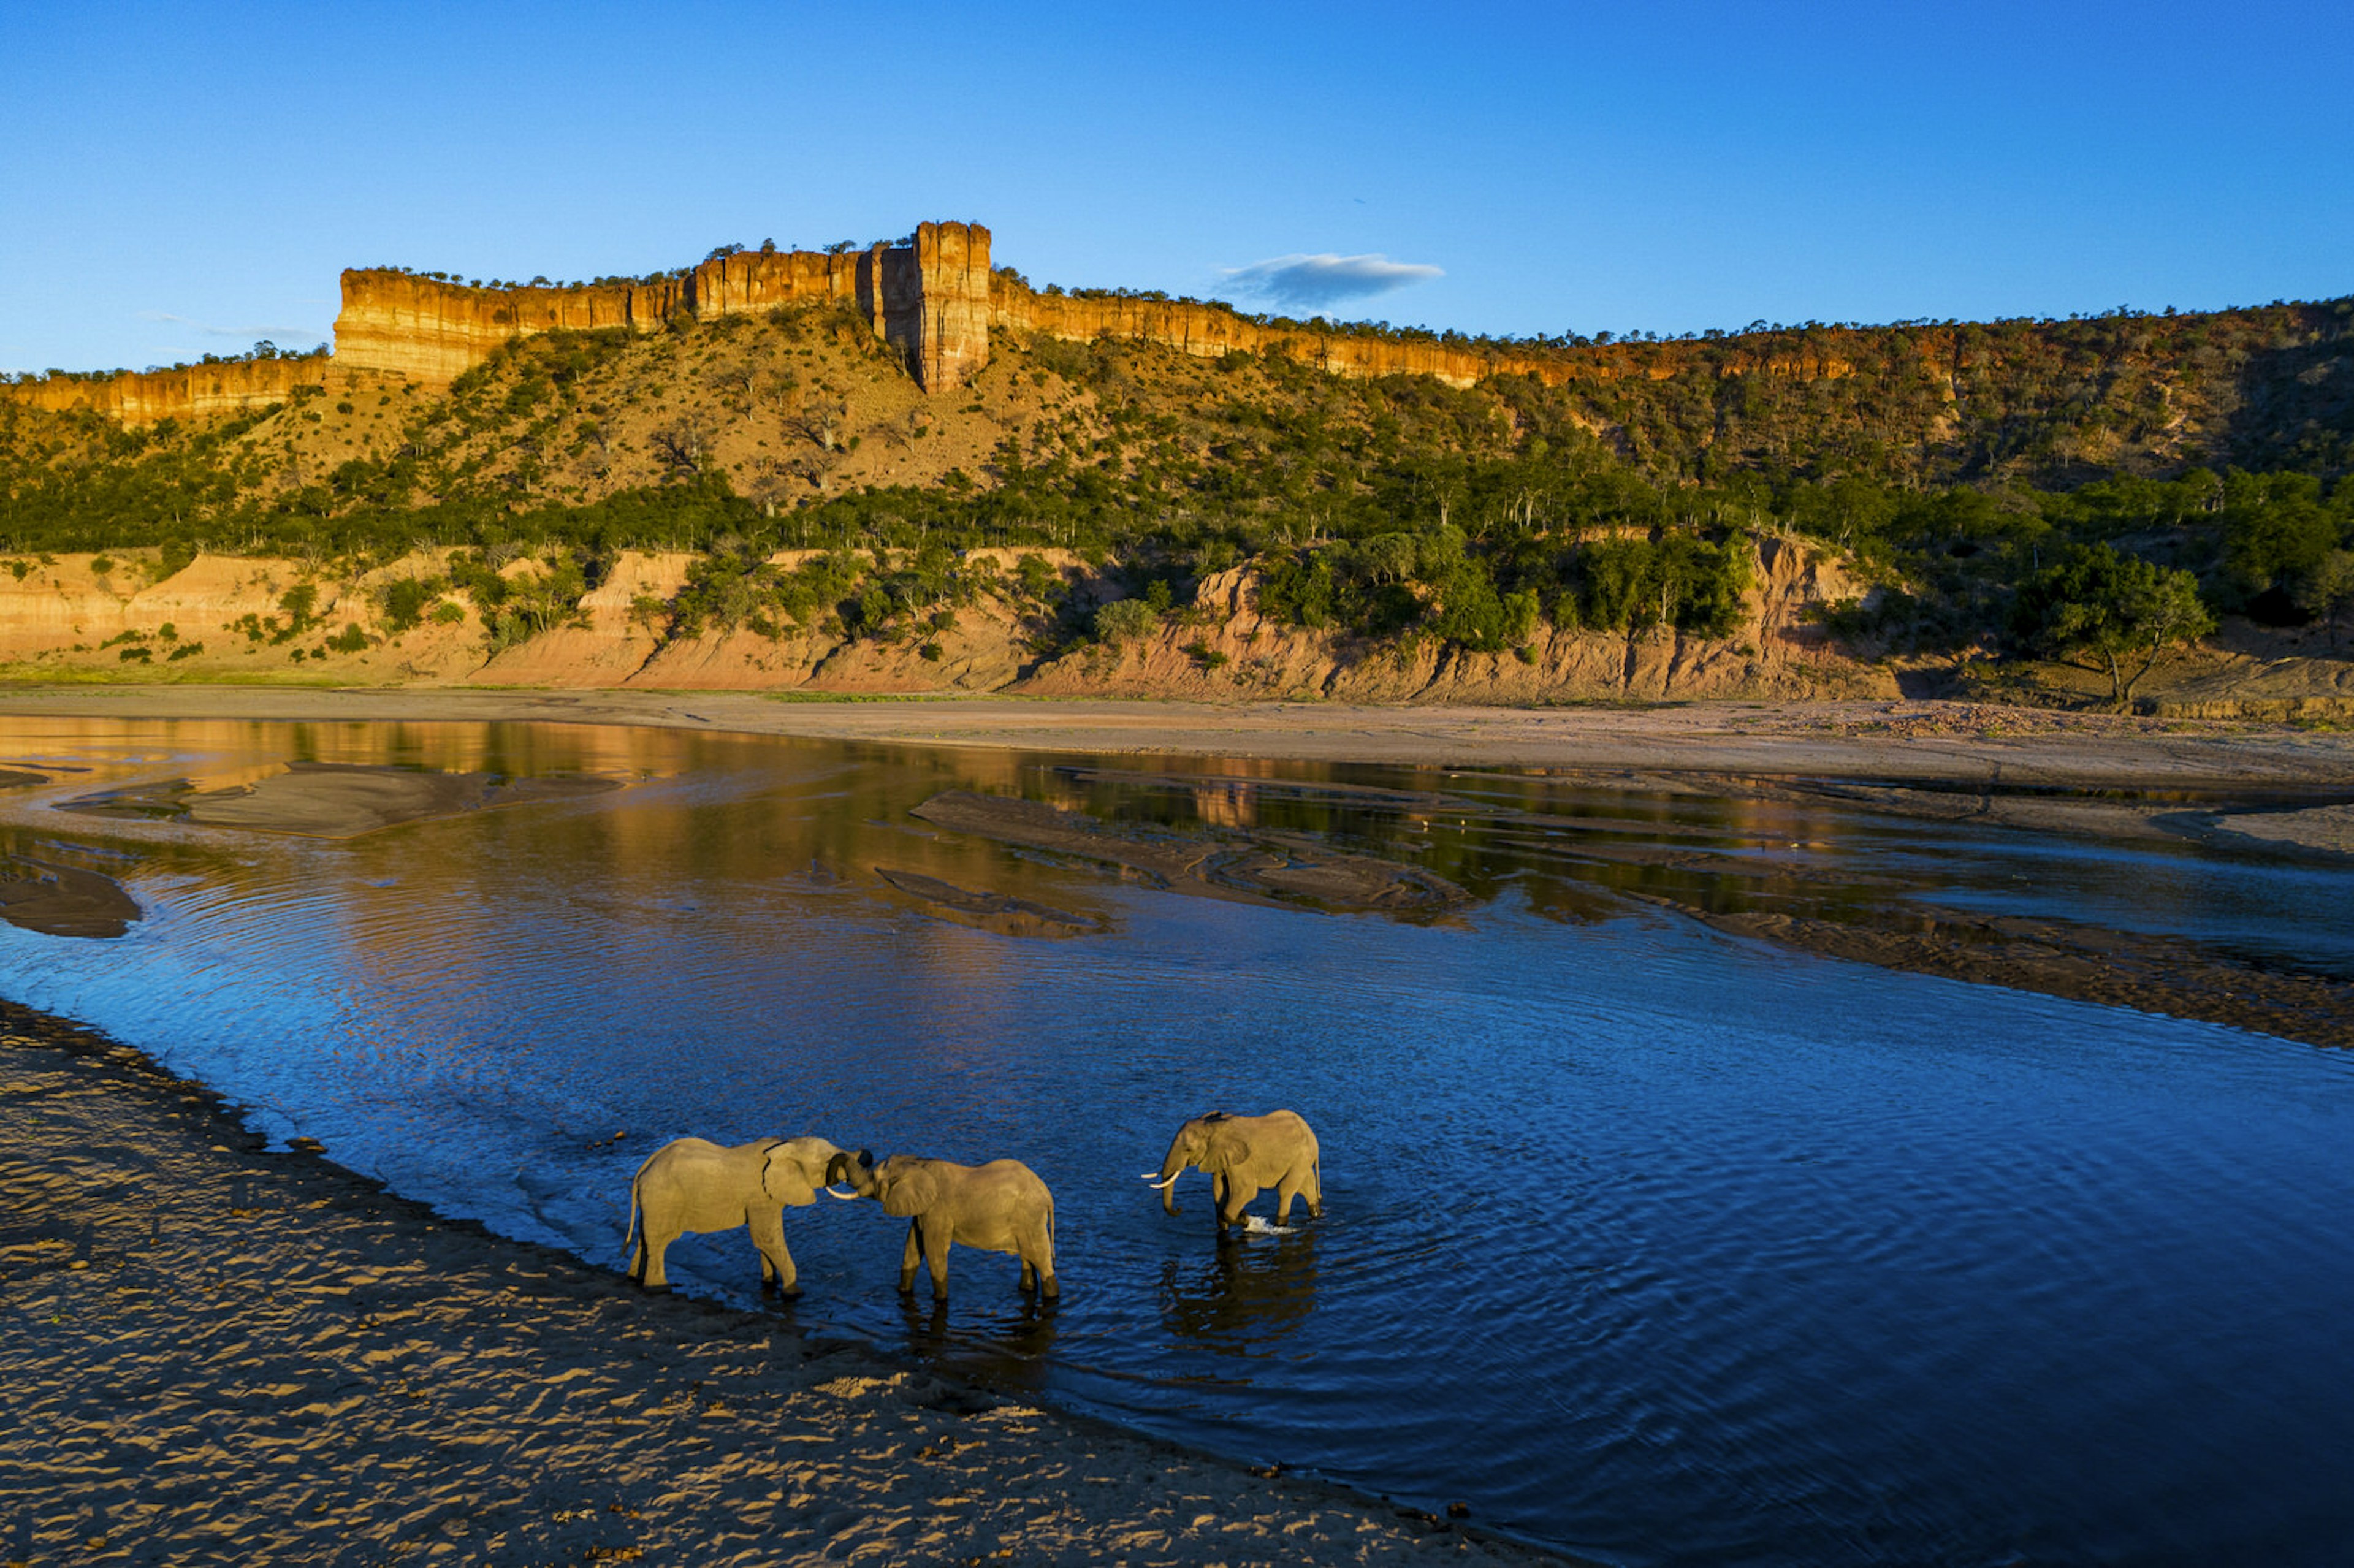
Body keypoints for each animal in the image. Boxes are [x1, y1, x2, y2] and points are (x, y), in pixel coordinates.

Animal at [621, 1130, 870, 1290]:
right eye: (827, 1162)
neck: (786, 1144)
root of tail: (644, 1168)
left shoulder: (767, 1198)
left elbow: (765, 1242)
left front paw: (769, 1283)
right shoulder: (760, 1196)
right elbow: (766, 1238)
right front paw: (793, 1293)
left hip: (653, 1201)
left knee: (645, 1240)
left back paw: (634, 1279)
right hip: (663, 1199)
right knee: (660, 1243)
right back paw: (659, 1288)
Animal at [824, 1149, 1054, 1290]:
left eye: (873, 1177)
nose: (836, 1179)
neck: (917, 1163)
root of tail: (1047, 1193)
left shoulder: (938, 1210)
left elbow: (934, 1252)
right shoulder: (922, 1210)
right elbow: (912, 1251)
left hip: (1031, 1218)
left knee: (1043, 1263)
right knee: (1028, 1259)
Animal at [1144, 1106, 1327, 1224]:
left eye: (1188, 1149)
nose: (1180, 1209)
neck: (1212, 1126)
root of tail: (1312, 1135)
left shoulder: (1242, 1162)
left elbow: (1246, 1192)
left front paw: (1245, 1218)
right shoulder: (1219, 1159)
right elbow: (1218, 1191)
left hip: (1302, 1158)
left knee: (1285, 1190)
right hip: (1302, 1161)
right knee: (1307, 1188)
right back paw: (1316, 1215)